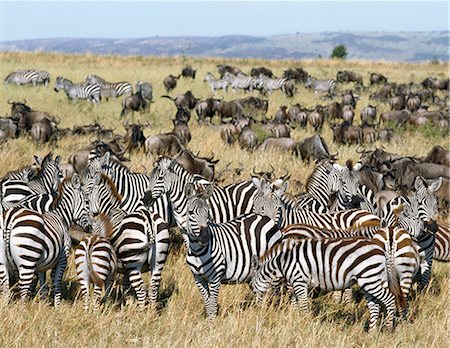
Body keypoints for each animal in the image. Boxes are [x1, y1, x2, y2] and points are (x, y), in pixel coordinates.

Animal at [0, 174, 89, 304]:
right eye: (87, 202)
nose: (90, 228)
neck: (62, 216)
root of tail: (9, 219)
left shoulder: (42, 265)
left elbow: (43, 285)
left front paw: (43, 303)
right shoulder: (62, 258)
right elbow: (56, 281)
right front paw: (57, 305)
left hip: (3, 263)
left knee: (5, 288)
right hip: (27, 259)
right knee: (22, 291)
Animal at [183, 185, 282, 318]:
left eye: (208, 213)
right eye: (191, 212)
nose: (205, 237)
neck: (197, 252)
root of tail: (265, 218)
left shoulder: (215, 277)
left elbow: (213, 305)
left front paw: (212, 323)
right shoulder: (198, 278)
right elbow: (208, 303)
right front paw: (209, 321)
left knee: (275, 292)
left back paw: (274, 311)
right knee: (260, 294)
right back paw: (259, 313)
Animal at [250, 237, 404, 332]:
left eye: (253, 287)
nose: (257, 311)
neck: (283, 262)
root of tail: (382, 251)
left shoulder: (299, 281)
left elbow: (303, 305)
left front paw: (304, 323)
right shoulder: (297, 283)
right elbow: (295, 303)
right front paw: (293, 319)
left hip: (370, 279)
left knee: (389, 299)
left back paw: (388, 328)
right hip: (368, 281)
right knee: (375, 306)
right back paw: (371, 332)